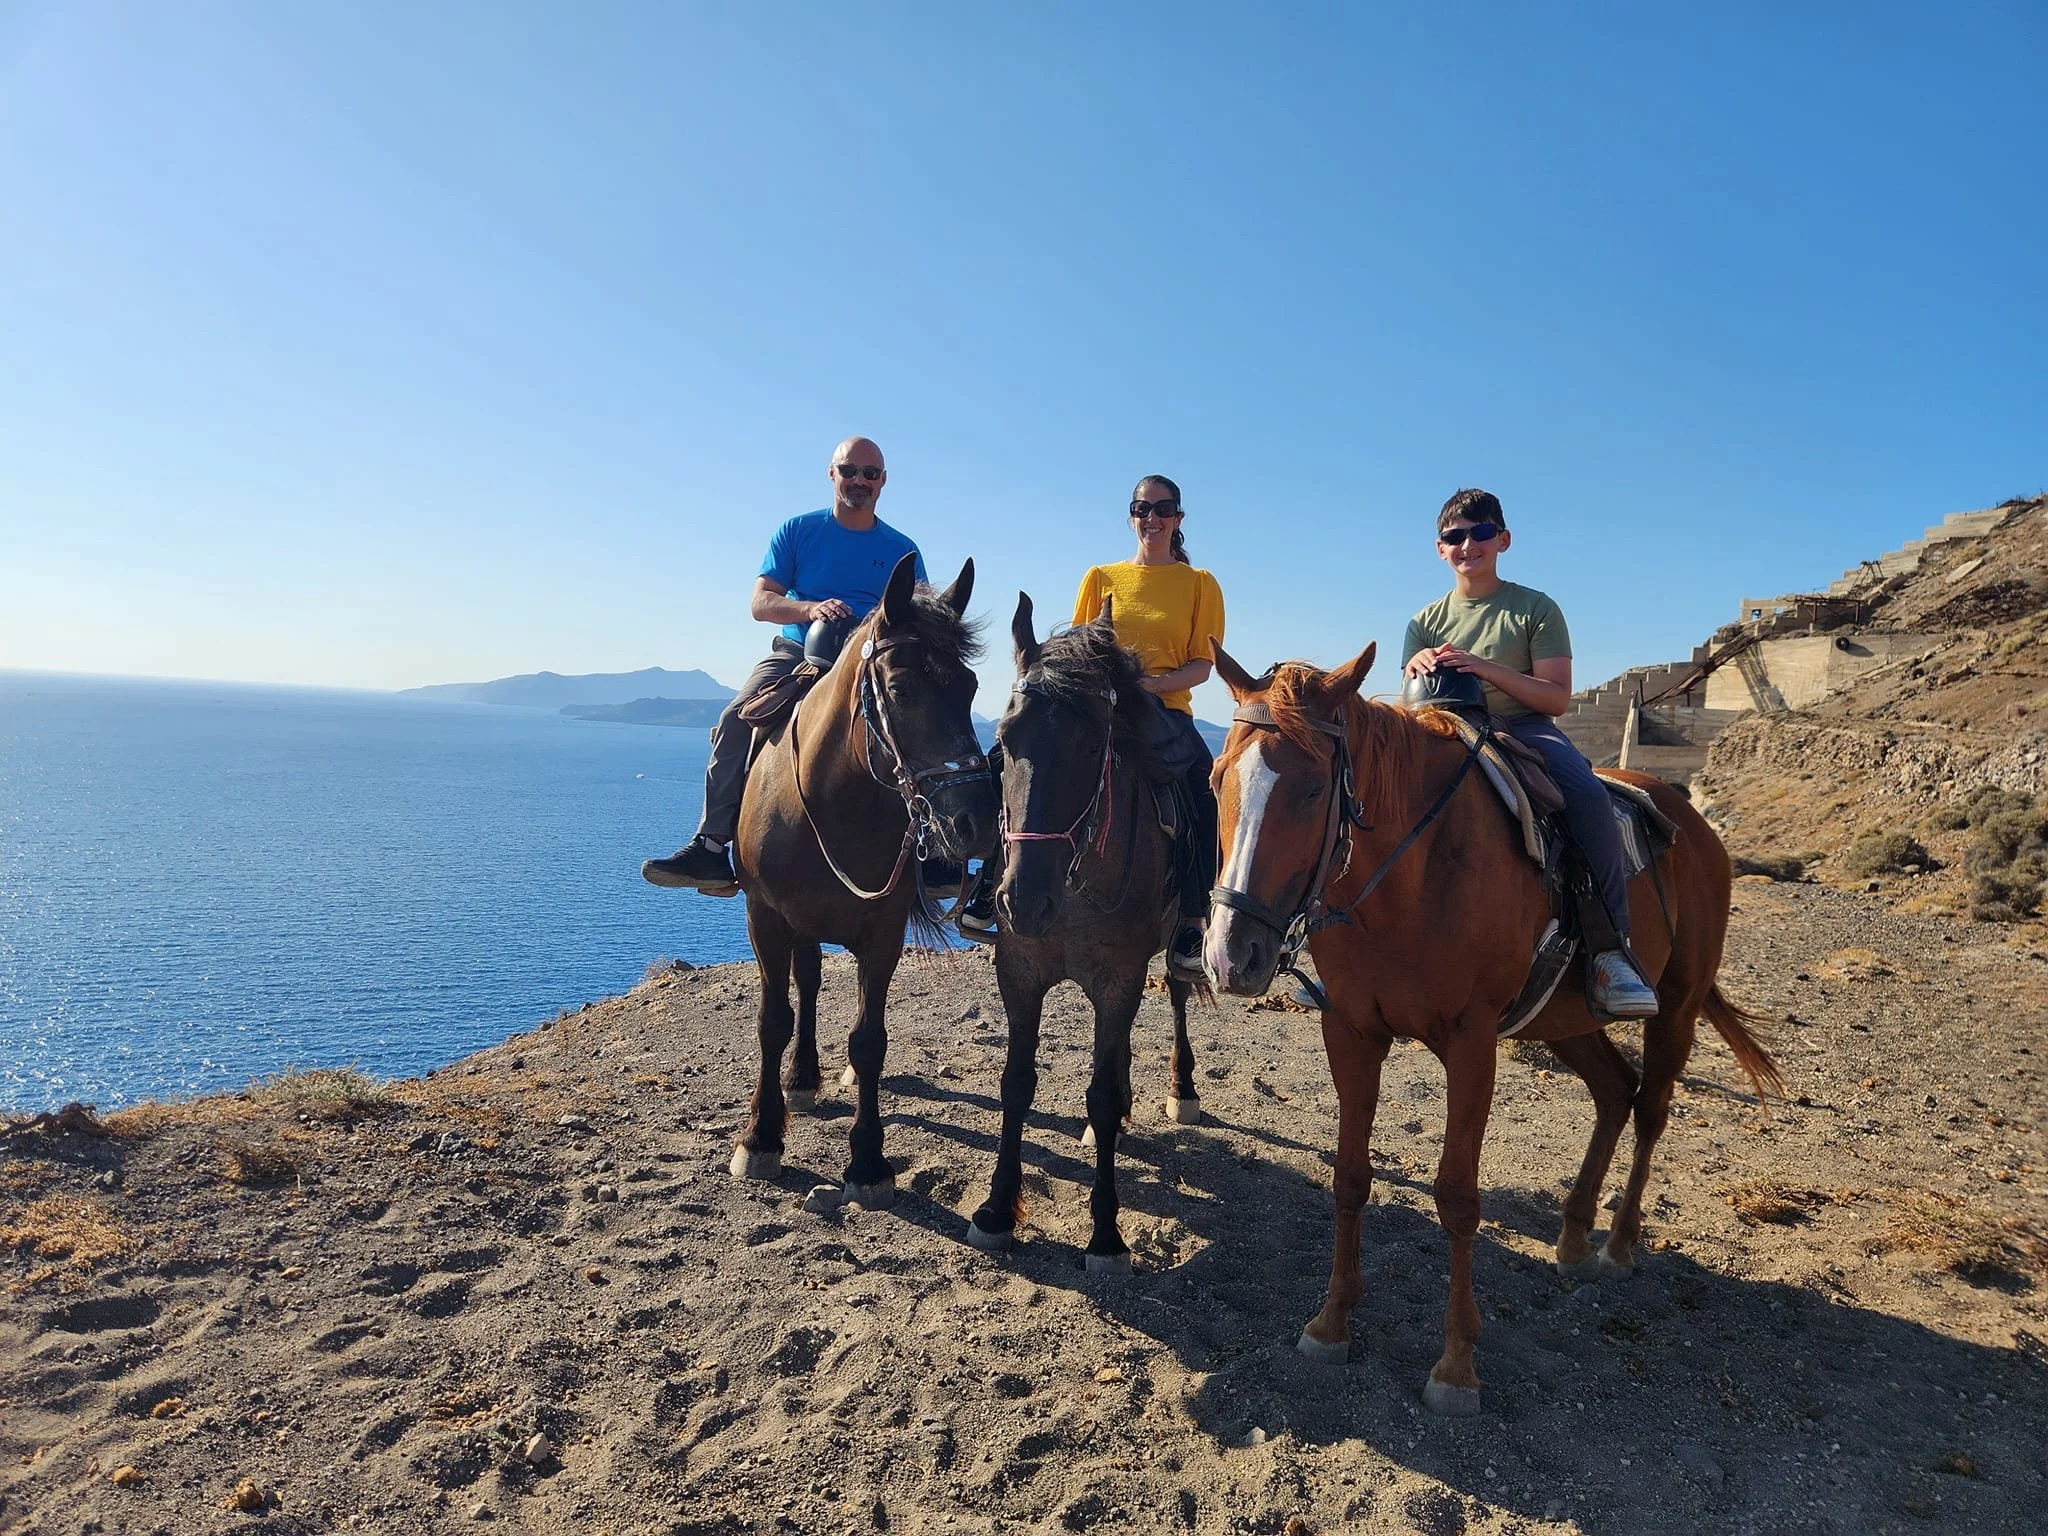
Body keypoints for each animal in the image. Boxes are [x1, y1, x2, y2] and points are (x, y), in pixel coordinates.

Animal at [728, 553, 997, 1206]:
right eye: (900, 689)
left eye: (970, 687)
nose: (977, 821)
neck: (831, 804)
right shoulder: (764, 918)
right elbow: (773, 1021)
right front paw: (761, 1137)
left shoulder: (882, 932)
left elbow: (869, 1040)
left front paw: (869, 1162)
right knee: (805, 984)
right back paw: (800, 1080)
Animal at [964, 595, 1203, 1272]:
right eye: (1004, 740)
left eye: (1093, 744)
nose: (1022, 900)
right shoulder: (1018, 972)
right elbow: (1016, 1083)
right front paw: (997, 1209)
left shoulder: (1118, 977)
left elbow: (1094, 1088)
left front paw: (1106, 1232)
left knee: (1177, 995)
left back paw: (1180, 1087)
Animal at [1203, 642, 1779, 1414]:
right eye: (1217, 780)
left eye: (1311, 790)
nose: (1231, 955)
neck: (1410, 879)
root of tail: (1689, 821)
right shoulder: (1351, 1033)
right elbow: (1350, 1177)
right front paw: (1330, 1323)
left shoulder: (1472, 1046)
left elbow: (1456, 1197)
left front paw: (1455, 1366)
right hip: (1567, 1020)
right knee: (1614, 1092)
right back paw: (1573, 1234)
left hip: (1678, 1006)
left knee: (1652, 1107)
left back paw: (1618, 1246)